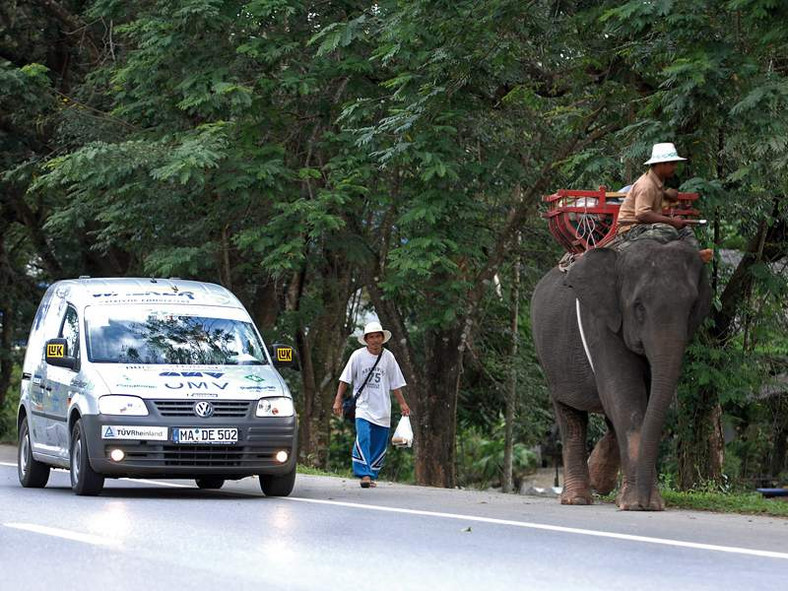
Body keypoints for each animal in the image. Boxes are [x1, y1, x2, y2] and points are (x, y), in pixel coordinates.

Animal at [532, 238, 712, 512]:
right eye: (638, 307)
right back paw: (577, 499)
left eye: (692, 307)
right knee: (570, 416)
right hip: (549, 359)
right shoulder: (601, 323)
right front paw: (635, 504)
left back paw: (598, 481)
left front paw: (641, 502)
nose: (648, 503)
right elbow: (625, 398)